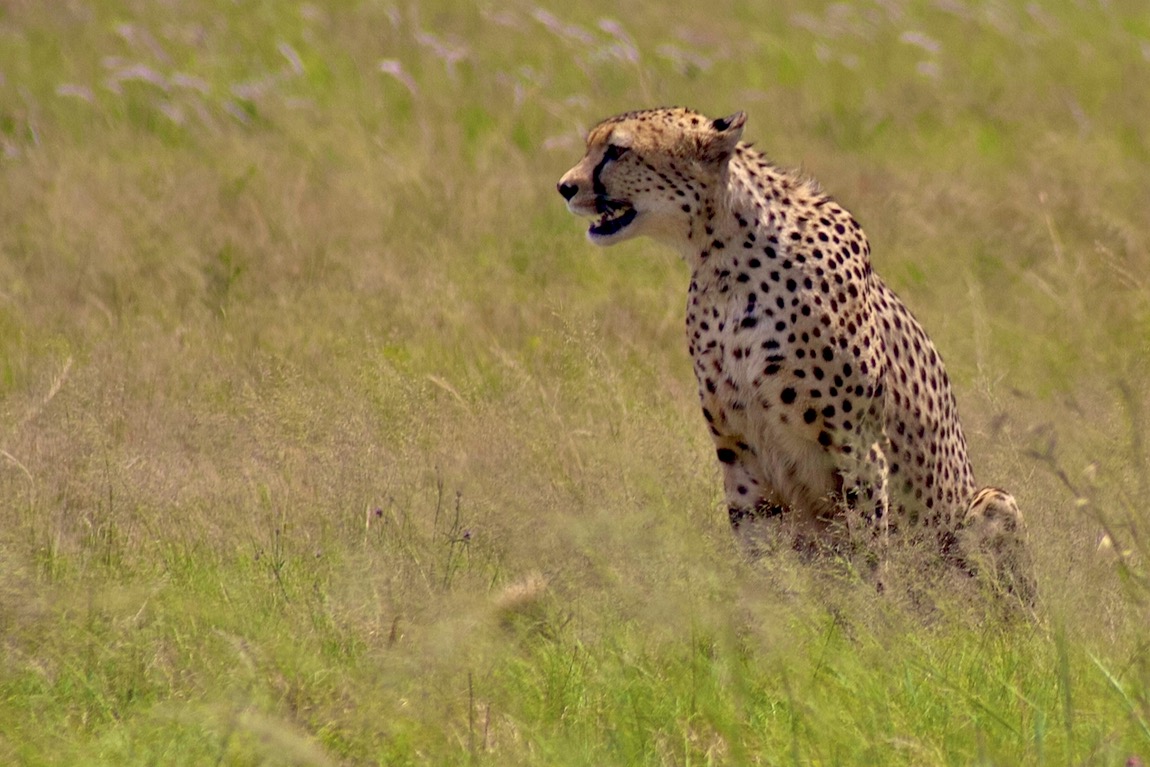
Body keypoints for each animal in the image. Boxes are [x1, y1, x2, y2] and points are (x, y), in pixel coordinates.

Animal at [556, 106, 1032, 599]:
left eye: (617, 150)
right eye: (592, 146)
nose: (565, 186)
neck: (722, 259)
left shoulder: (857, 447)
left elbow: (868, 558)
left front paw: (874, 616)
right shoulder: (739, 448)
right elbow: (760, 551)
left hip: (993, 505)